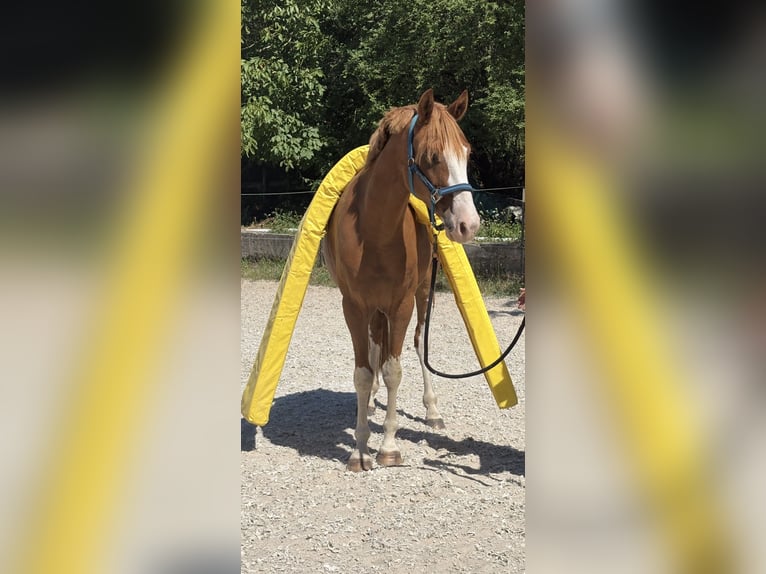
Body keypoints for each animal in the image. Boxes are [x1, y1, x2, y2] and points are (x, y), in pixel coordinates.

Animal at [323, 89, 481, 471]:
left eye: (467, 152)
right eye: (434, 155)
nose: (468, 224)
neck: (374, 231)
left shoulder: (402, 305)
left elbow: (394, 369)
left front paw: (388, 447)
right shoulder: (354, 306)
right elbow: (363, 372)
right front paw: (359, 450)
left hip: (422, 296)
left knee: (419, 346)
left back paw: (432, 410)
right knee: (374, 349)